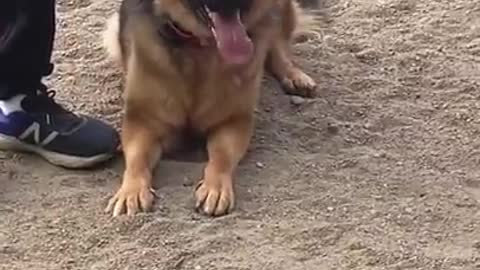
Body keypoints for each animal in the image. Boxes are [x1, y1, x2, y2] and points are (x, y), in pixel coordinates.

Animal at [102, 0, 316, 217]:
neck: (198, 45)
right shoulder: (142, 121)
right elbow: (137, 158)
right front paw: (131, 191)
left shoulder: (234, 121)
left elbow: (222, 155)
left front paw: (216, 188)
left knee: (278, 43)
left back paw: (294, 75)